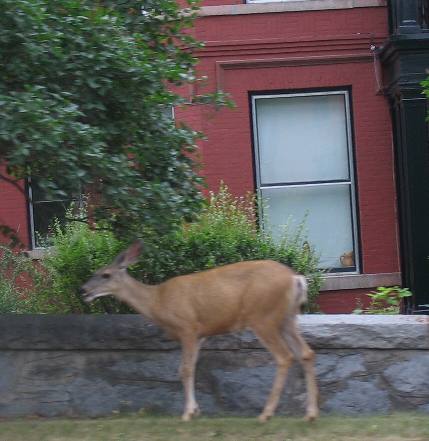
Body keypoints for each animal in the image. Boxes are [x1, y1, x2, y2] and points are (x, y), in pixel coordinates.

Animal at [80, 241, 318, 422]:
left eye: (105, 275)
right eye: (95, 272)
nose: (83, 290)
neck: (157, 301)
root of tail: (295, 278)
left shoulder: (187, 326)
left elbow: (185, 370)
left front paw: (187, 413)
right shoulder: (200, 334)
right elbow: (189, 368)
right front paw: (195, 410)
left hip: (263, 316)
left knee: (284, 356)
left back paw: (266, 414)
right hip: (287, 317)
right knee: (306, 353)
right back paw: (310, 414)